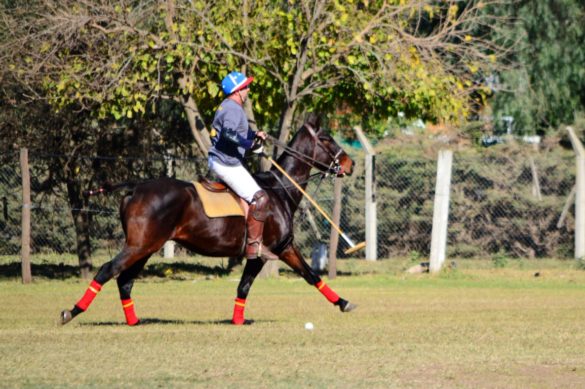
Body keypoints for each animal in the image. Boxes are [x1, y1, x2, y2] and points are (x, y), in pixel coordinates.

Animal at [62, 117, 356, 324]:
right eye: (327, 139)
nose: (350, 164)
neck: (279, 189)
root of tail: (135, 187)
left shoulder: (278, 249)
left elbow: (290, 279)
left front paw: (343, 302)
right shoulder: (273, 249)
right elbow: (299, 275)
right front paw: (345, 302)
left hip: (146, 247)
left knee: (124, 280)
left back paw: (134, 321)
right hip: (139, 245)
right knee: (107, 270)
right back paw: (71, 312)